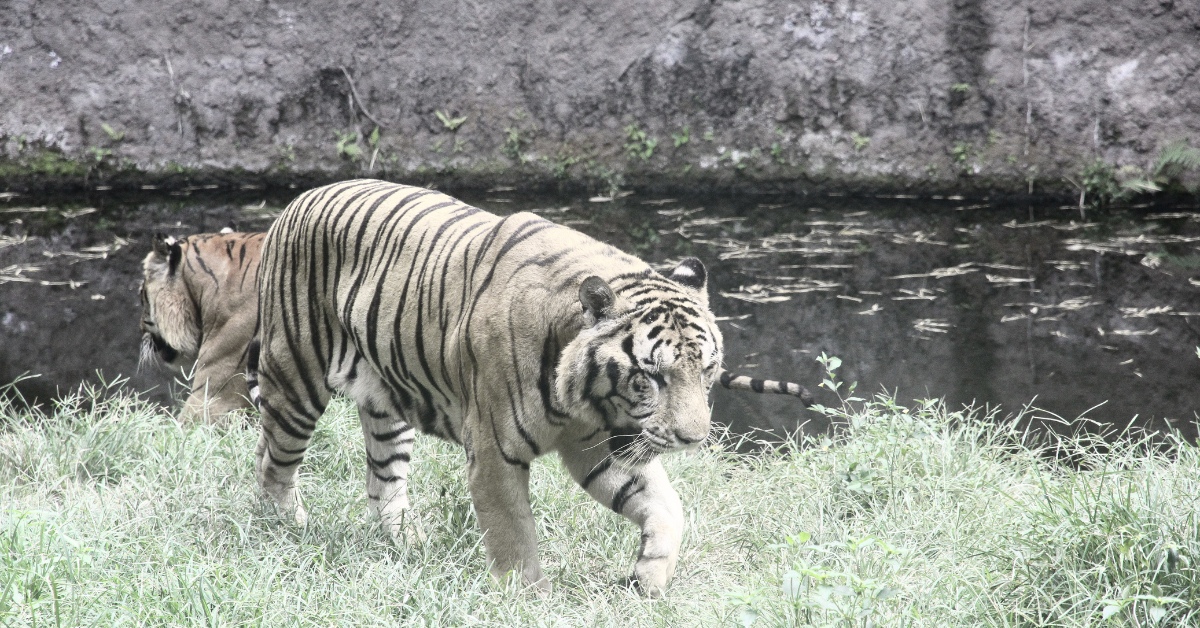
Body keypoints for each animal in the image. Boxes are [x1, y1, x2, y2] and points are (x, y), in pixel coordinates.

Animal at [246, 179, 812, 596]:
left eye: (708, 371)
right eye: (650, 377)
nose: (694, 439)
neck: (586, 404)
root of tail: (299, 199)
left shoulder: (597, 448)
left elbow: (666, 508)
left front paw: (648, 579)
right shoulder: (494, 451)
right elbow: (513, 532)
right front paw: (527, 599)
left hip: (386, 404)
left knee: (383, 480)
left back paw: (407, 543)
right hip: (294, 376)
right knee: (273, 460)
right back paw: (284, 529)